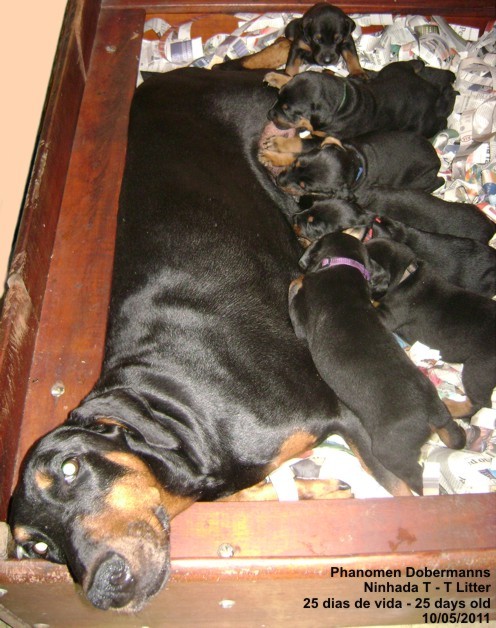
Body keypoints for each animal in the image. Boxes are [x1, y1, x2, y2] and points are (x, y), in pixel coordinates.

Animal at [8, 69, 421, 614]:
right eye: (38, 547)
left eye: (71, 467)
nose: (104, 588)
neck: (187, 421)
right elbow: (267, 491)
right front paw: (315, 490)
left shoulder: (337, 409)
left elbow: (401, 486)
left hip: (270, 124)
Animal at [264, 60, 456, 139]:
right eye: (279, 97)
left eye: (288, 110)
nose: (269, 114)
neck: (342, 100)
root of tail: (432, 90)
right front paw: (276, 77)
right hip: (397, 67)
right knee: (417, 64)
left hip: (422, 125)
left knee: (440, 122)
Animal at [273, 131, 443, 198]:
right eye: (296, 164)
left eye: (304, 187)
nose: (278, 181)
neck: (354, 160)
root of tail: (437, 159)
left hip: (421, 178)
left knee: (438, 181)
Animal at [288, 232, 466, 495]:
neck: (345, 265)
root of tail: (432, 412)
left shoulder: (301, 324)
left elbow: (294, 294)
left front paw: (297, 279)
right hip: (445, 418)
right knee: (455, 437)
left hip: (390, 450)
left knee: (414, 475)